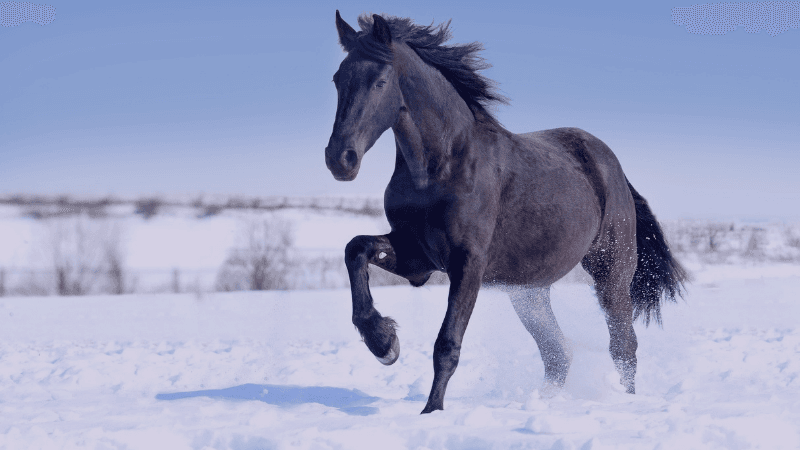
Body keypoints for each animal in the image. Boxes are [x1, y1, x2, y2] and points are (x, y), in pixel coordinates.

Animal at [325, 11, 686, 414]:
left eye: (380, 81)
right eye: (338, 79)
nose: (340, 159)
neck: (441, 166)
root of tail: (614, 168)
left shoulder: (468, 263)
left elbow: (447, 344)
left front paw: (431, 412)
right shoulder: (418, 258)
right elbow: (355, 248)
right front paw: (383, 342)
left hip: (611, 271)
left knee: (623, 346)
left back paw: (624, 402)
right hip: (529, 292)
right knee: (558, 353)